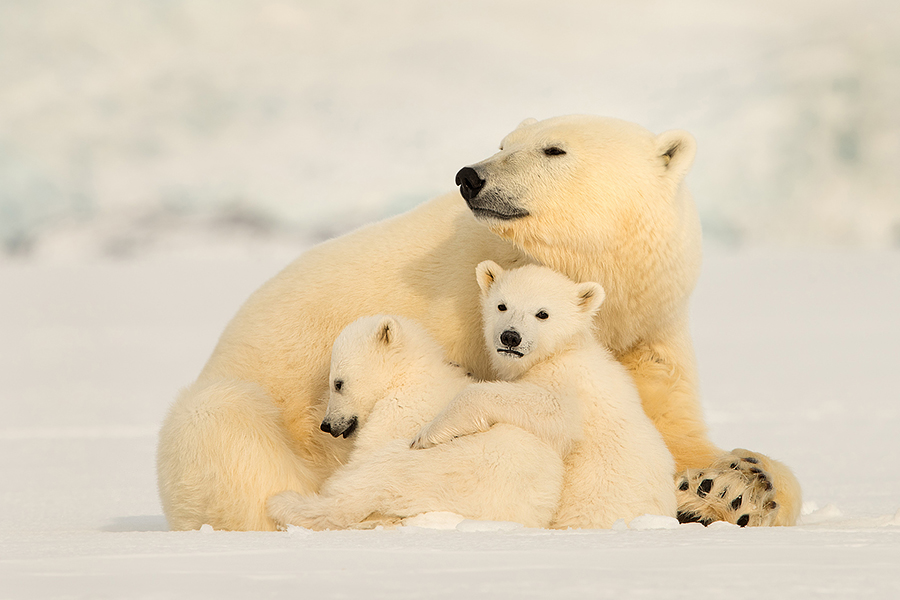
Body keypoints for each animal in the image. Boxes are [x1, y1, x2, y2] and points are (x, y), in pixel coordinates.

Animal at [266, 312, 577, 530]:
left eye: (338, 383)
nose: (327, 425)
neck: (409, 373)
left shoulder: (402, 411)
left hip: (431, 469)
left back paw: (283, 503)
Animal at [412, 261, 677, 527]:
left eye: (542, 314)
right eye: (502, 305)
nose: (510, 337)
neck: (559, 351)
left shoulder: (568, 382)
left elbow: (554, 410)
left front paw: (427, 434)